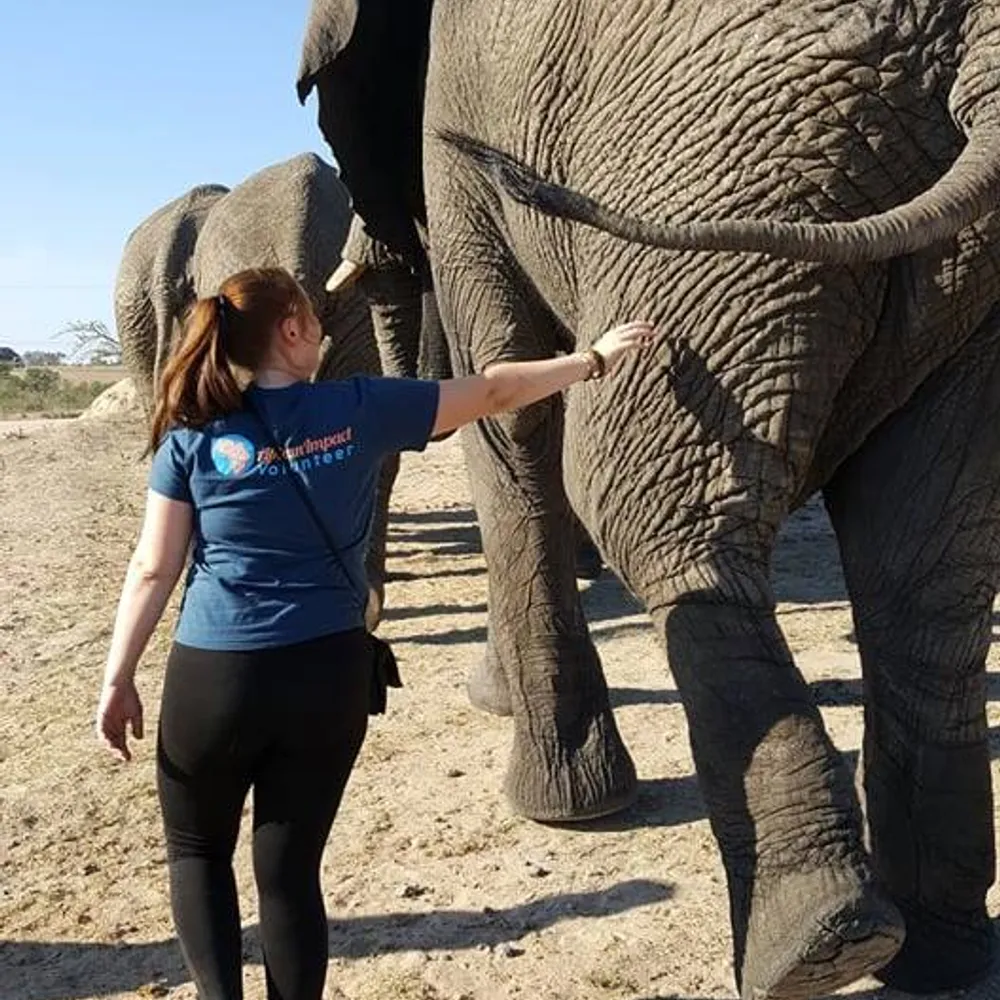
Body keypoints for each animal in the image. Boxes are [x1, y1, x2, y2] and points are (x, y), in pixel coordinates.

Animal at [423, 0, 1000, 997]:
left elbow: (507, 407)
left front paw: (560, 815)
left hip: (745, 150)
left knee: (643, 499)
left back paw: (816, 947)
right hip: (913, 238)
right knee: (929, 570)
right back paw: (924, 958)